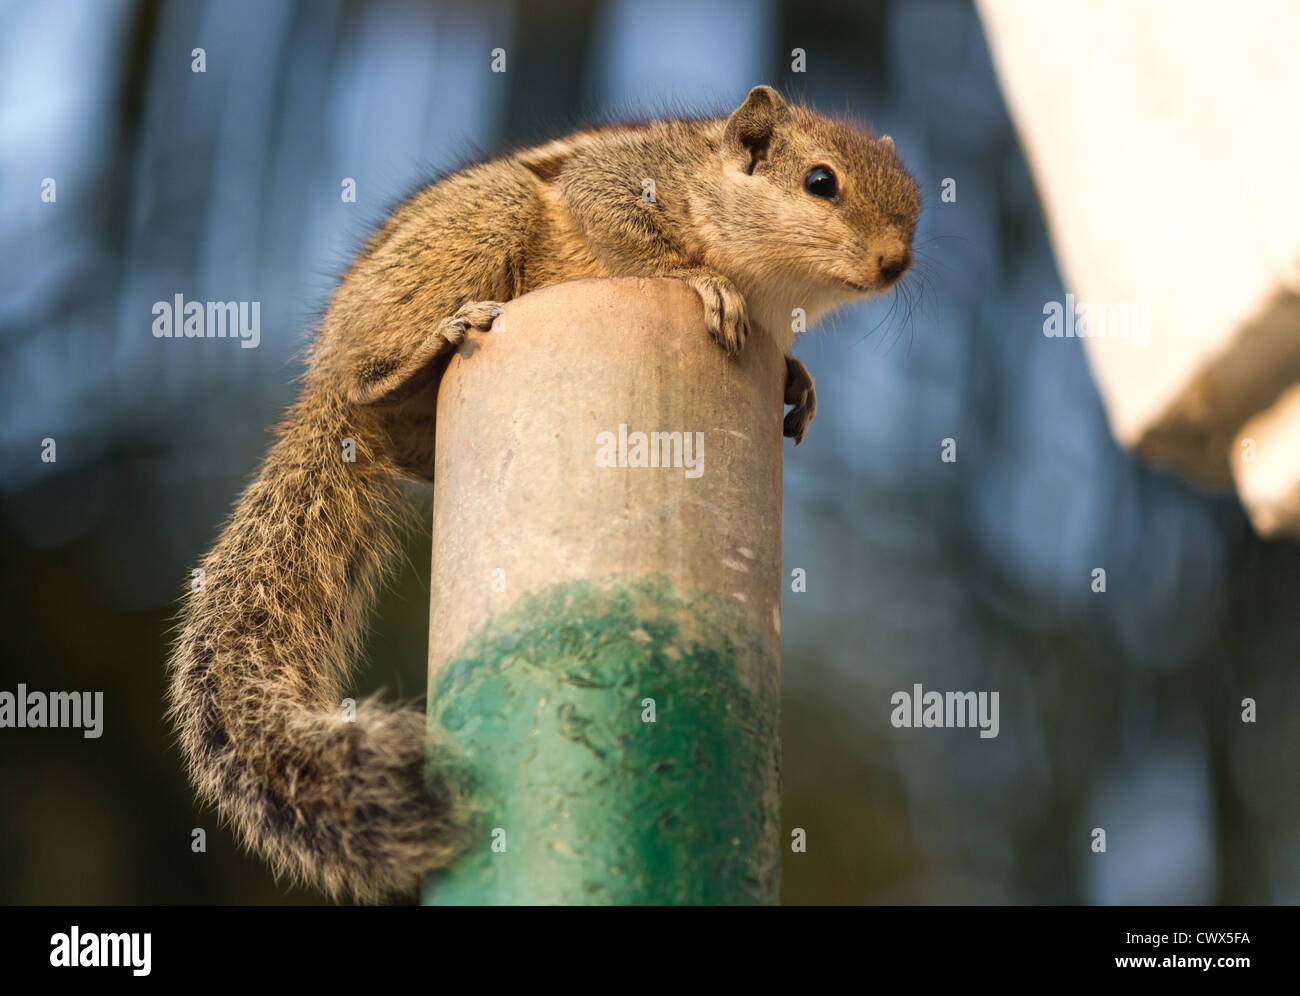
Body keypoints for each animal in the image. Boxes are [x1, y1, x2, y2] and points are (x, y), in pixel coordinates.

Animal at [167, 87, 920, 904]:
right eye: (821, 182)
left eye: (915, 202)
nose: (895, 263)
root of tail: (325, 378)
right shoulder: (628, 182)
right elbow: (626, 225)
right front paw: (704, 281)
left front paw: (799, 379)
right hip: (483, 222)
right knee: (371, 381)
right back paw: (420, 354)